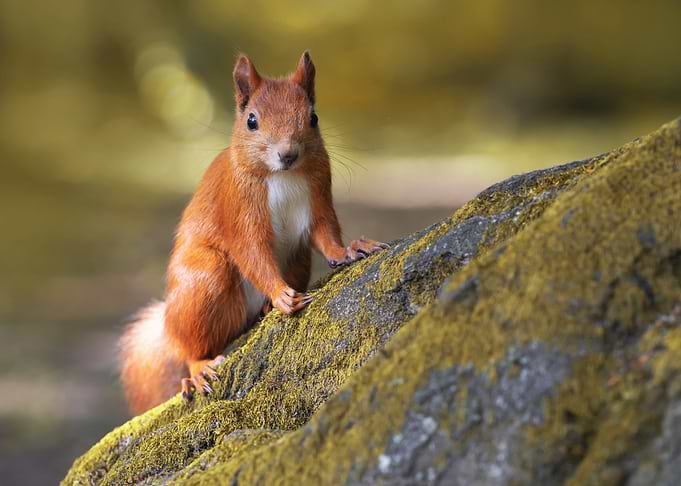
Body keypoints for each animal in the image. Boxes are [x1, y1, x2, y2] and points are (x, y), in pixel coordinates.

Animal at [119, 51, 388, 415]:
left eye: (313, 117)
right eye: (251, 121)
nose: (287, 154)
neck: (282, 176)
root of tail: (168, 325)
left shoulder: (318, 195)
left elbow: (325, 233)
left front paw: (347, 251)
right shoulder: (239, 206)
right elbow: (252, 251)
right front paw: (280, 294)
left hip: (298, 261)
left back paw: (262, 310)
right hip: (204, 279)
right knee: (190, 346)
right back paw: (199, 367)